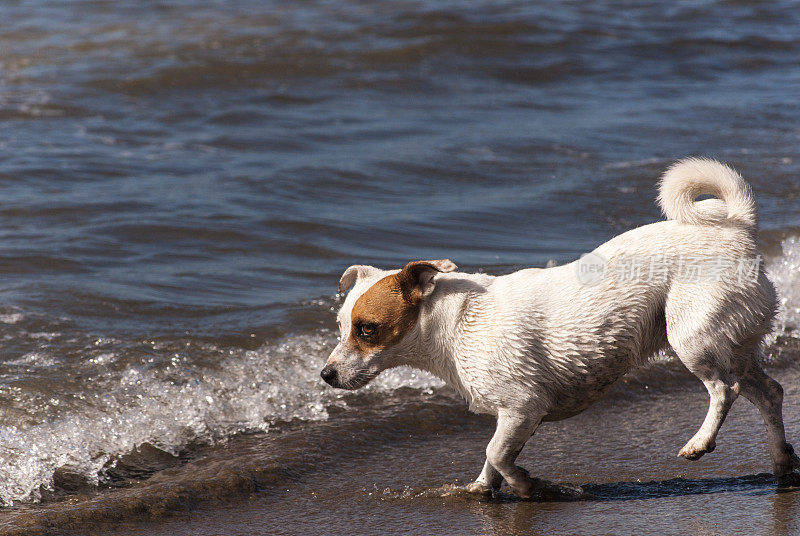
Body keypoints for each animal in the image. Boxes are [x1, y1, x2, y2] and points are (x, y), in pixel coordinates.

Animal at [320, 159, 800, 498]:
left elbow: (497, 452)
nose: (326, 375)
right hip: (734, 345)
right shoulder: (512, 417)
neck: (455, 324)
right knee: (769, 392)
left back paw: (701, 442)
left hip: (693, 337)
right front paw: (483, 488)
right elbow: (493, 455)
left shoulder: (523, 407)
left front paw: (529, 486)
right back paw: (781, 464)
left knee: (724, 389)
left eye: (367, 329)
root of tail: (738, 230)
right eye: (342, 326)